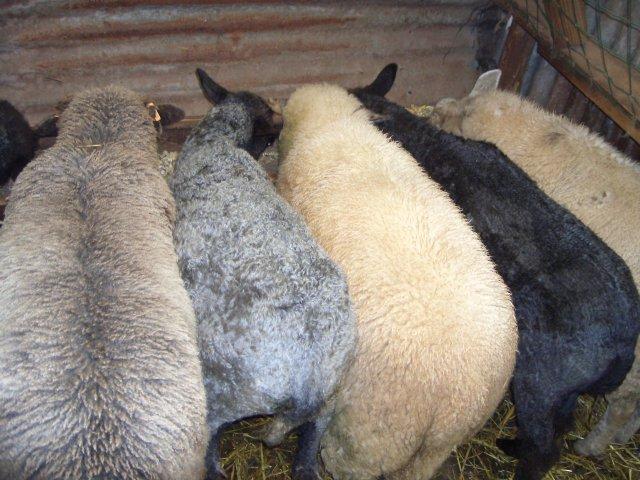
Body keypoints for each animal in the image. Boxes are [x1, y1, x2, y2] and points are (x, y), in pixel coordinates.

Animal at [169, 69, 357, 480]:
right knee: (306, 458)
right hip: (330, 402)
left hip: (223, 394)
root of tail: (309, 381)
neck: (218, 139)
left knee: (211, 452)